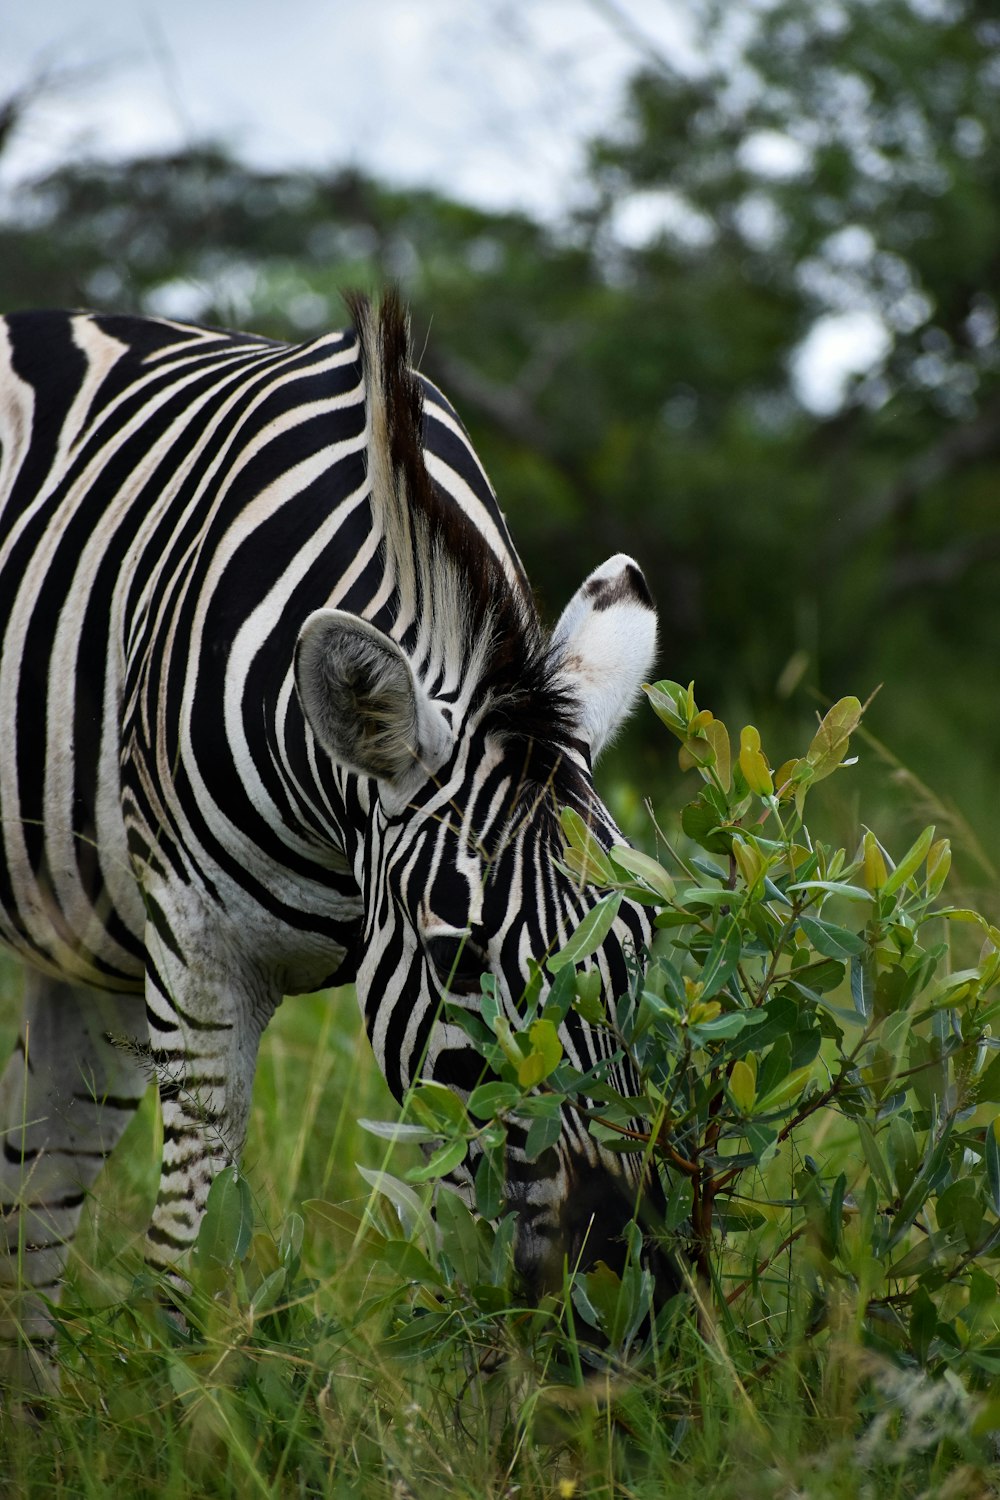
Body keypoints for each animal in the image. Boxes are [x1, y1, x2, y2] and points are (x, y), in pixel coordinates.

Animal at [0, 286, 665, 1374]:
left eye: (640, 947)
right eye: (459, 958)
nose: (617, 1287)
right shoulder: (199, 958)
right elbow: (193, 1249)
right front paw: (204, 1405)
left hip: (87, 950)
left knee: (34, 1200)